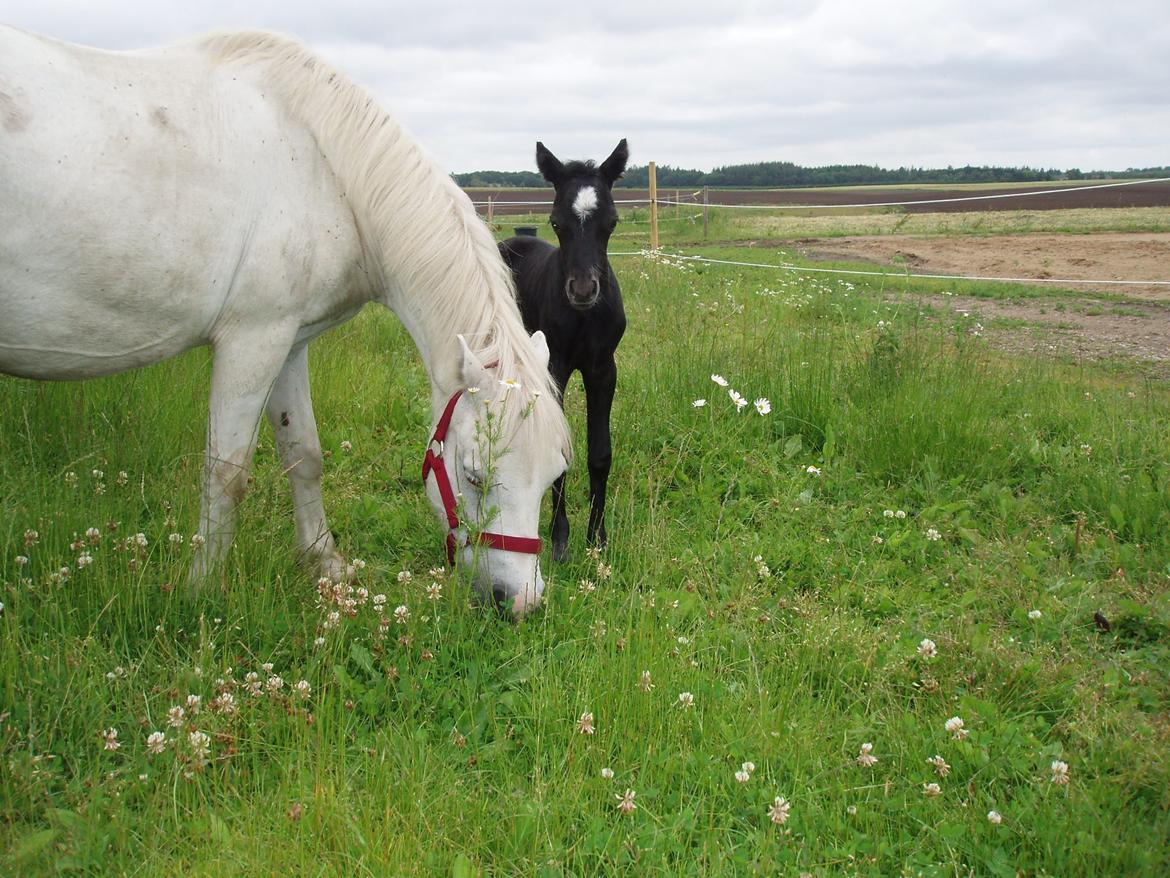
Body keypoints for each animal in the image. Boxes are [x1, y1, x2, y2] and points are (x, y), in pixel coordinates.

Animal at [0, 29, 570, 618]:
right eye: (475, 475)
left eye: (555, 475)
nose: (522, 602)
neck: (323, 166)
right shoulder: (252, 341)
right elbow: (226, 473)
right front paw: (202, 591)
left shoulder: (289, 343)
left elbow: (304, 454)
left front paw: (324, 563)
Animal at [500, 137, 631, 564]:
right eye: (557, 223)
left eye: (612, 222)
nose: (584, 290)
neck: (584, 318)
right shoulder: (555, 367)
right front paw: (560, 541)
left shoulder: (603, 369)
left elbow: (600, 454)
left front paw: (598, 539)